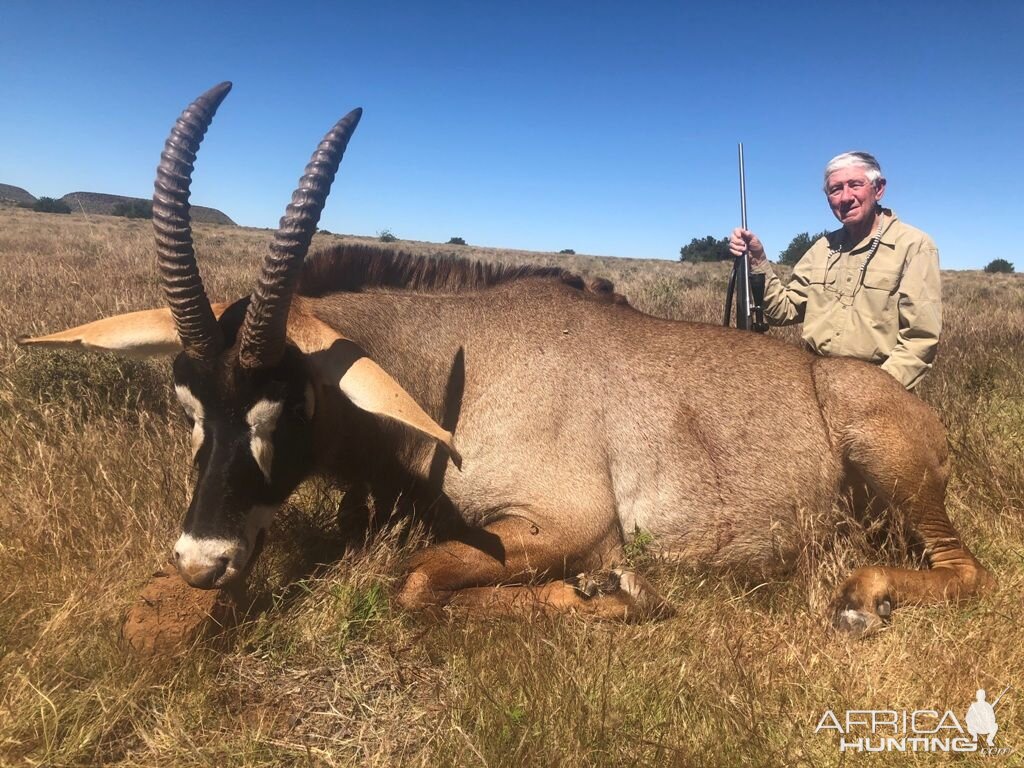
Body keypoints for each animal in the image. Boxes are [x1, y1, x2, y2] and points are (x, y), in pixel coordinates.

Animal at [16, 81, 991, 638]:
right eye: (188, 408)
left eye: (283, 405)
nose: (201, 563)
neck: (453, 369)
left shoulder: (566, 526)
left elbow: (419, 581)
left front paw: (607, 597)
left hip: (892, 473)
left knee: (966, 571)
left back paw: (864, 595)